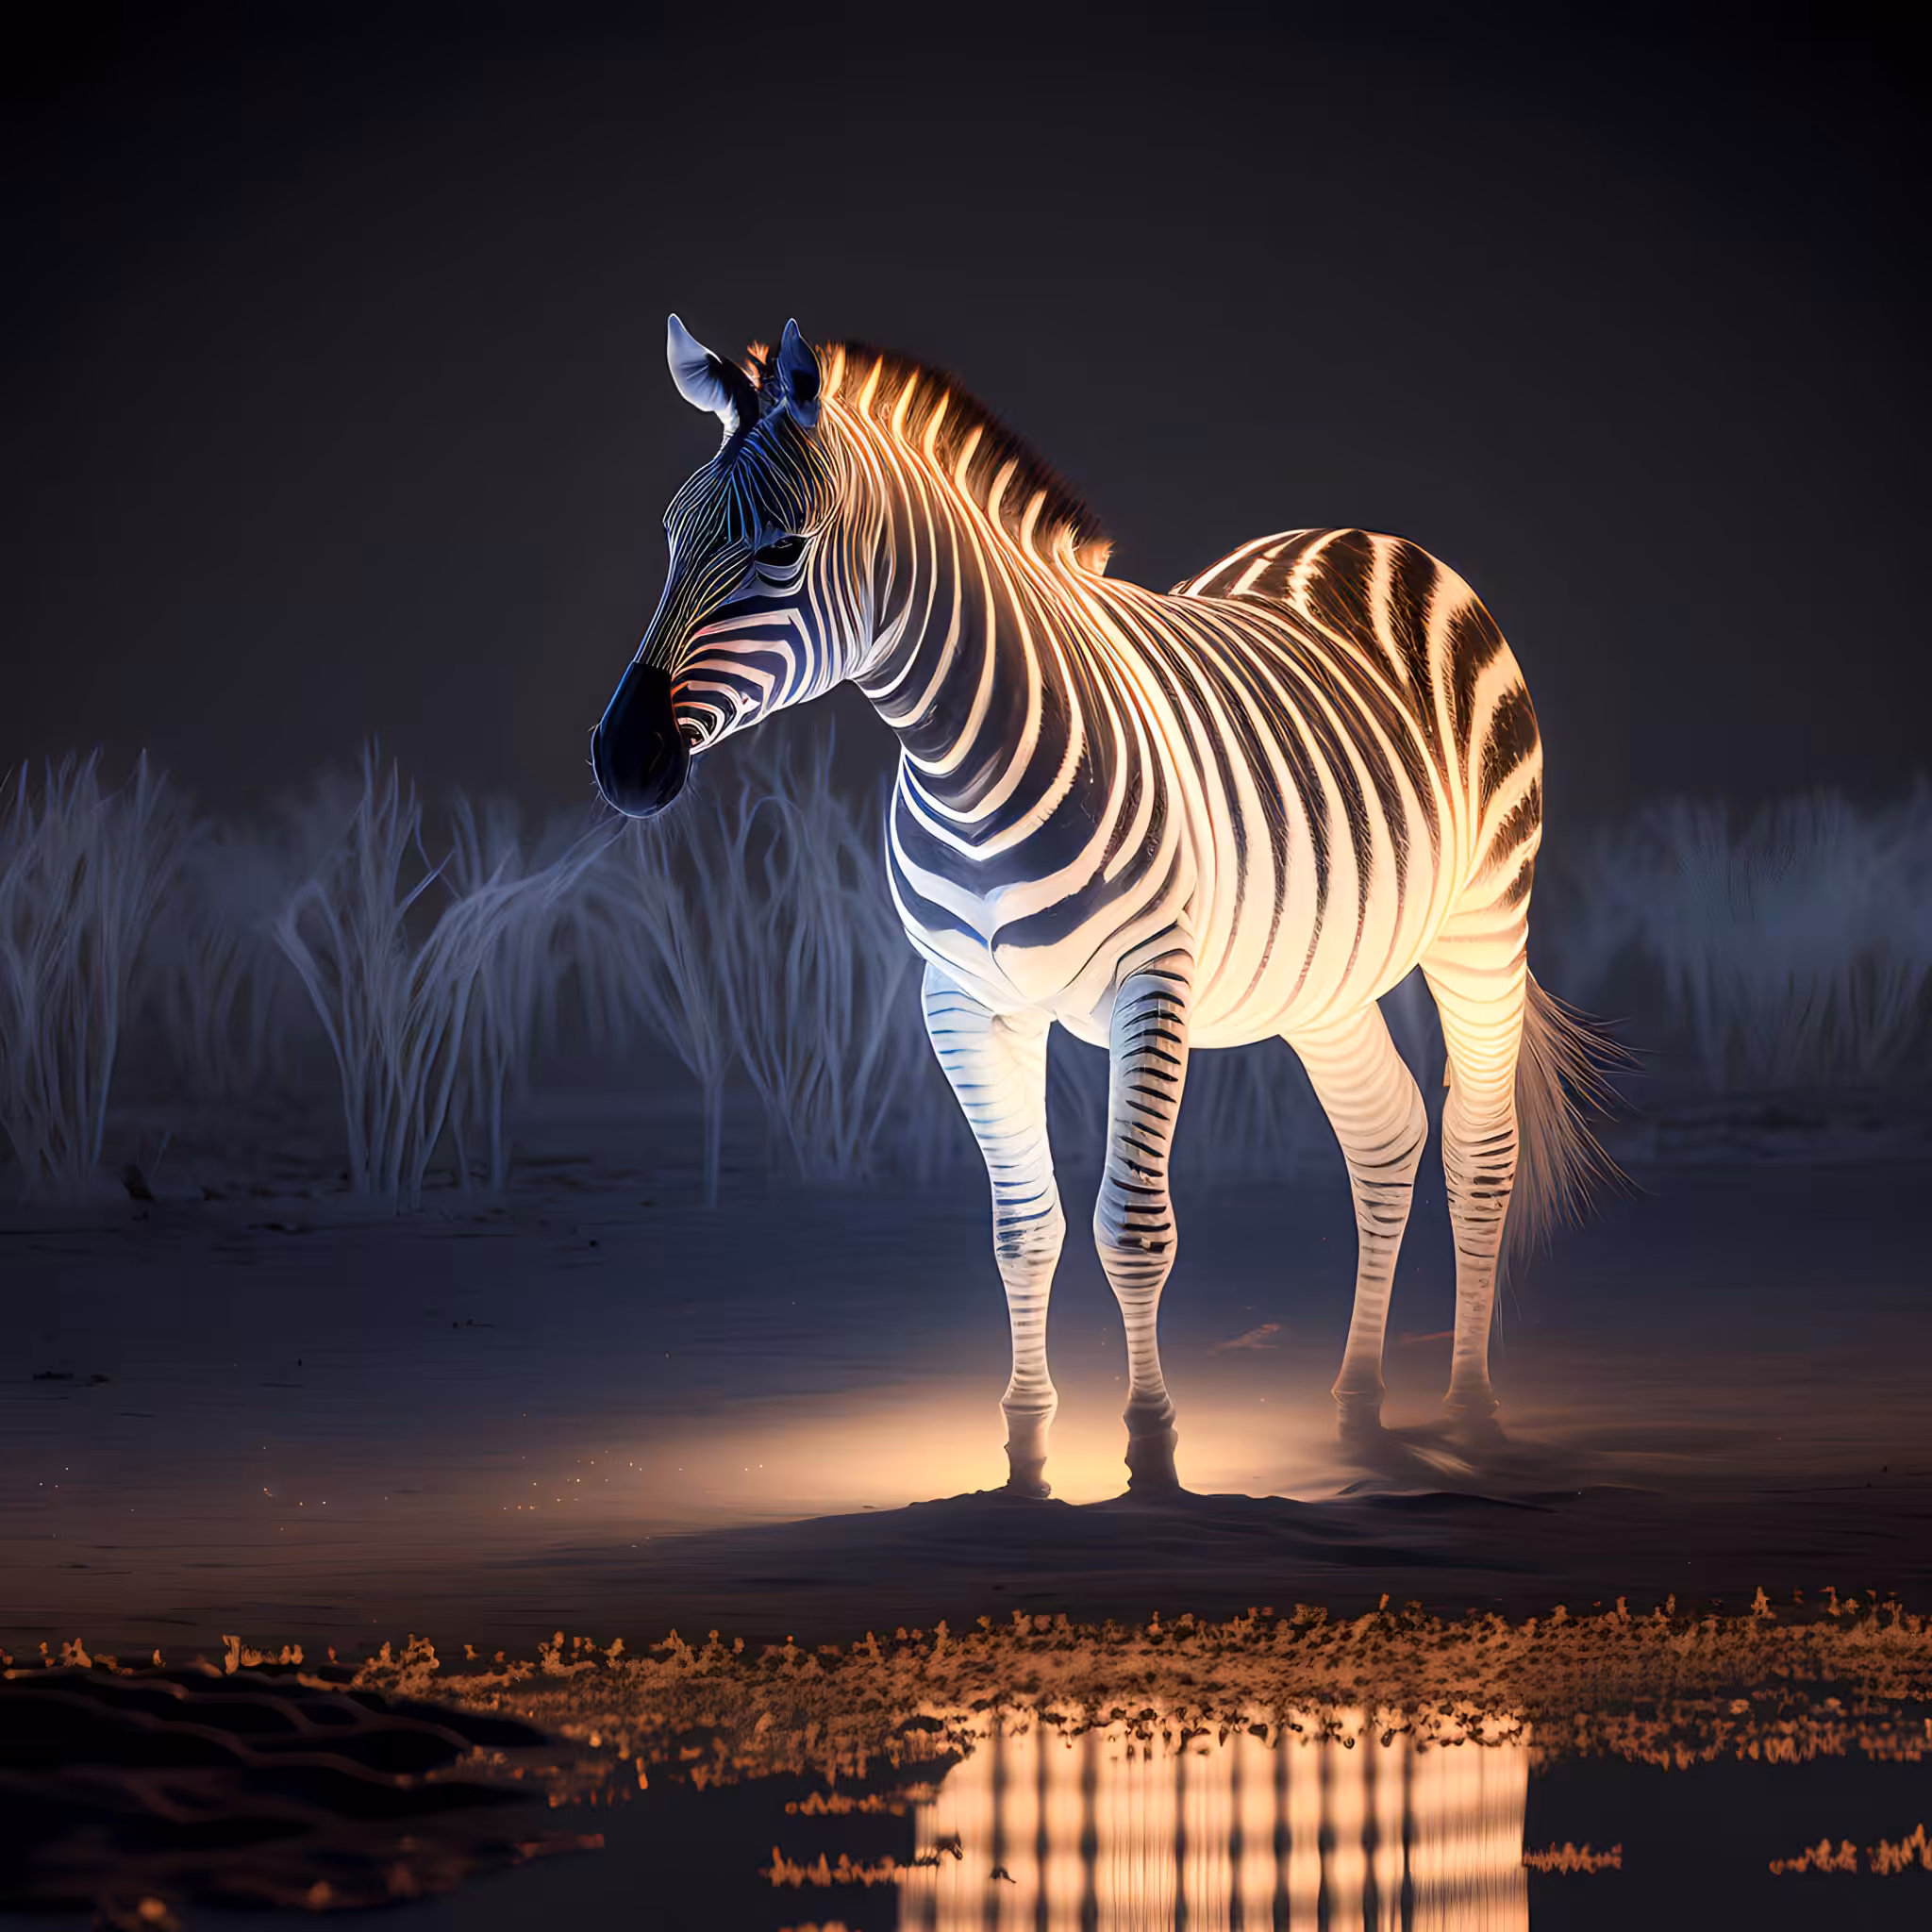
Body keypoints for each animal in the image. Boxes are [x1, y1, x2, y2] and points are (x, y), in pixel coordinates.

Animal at [592, 314, 1616, 1495]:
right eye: (670, 539)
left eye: (782, 552)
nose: (619, 760)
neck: (959, 753)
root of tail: (1364, 536)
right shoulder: (958, 999)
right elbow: (1020, 1226)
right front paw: (1024, 1453)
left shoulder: (1150, 983)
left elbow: (1130, 1226)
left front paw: (1151, 1449)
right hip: (1320, 975)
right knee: (1384, 1135)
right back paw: (1359, 1407)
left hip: (1484, 921)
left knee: (1474, 1147)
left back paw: (1469, 1411)